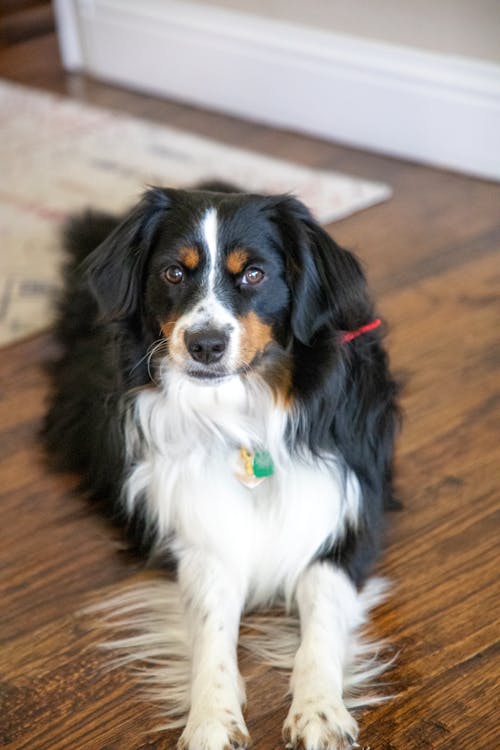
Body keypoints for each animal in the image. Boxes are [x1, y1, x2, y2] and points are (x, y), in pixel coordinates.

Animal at [45, 184, 400, 750]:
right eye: (173, 272)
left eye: (254, 274)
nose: (205, 344)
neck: (244, 420)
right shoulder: (199, 535)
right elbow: (212, 625)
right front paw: (211, 717)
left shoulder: (346, 521)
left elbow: (321, 613)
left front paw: (320, 710)